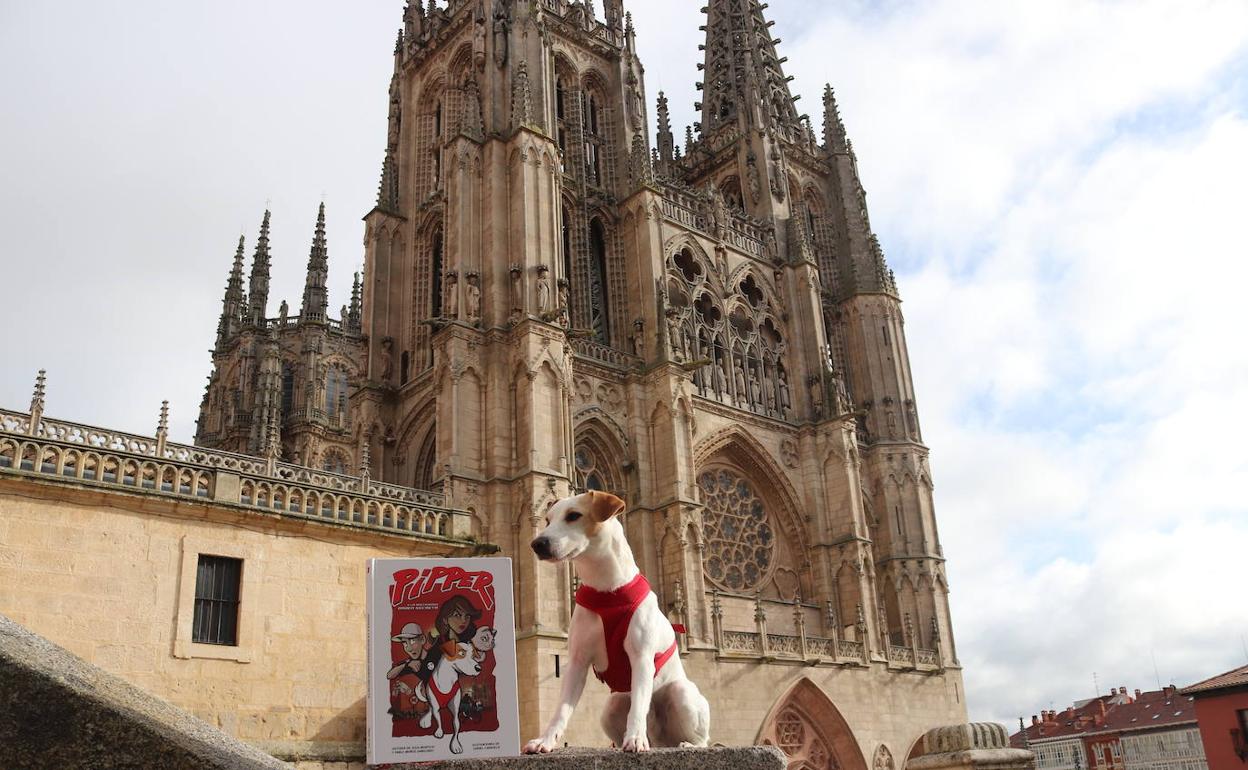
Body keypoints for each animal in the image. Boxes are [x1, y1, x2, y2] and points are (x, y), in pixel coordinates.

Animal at [519, 491, 713, 748]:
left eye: (574, 515)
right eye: (548, 520)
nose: (537, 544)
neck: (606, 591)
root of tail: (659, 738)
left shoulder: (641, 658)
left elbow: (638, 705)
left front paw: (636, 739)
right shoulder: (577, 662)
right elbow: (561, 709)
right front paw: (546, 740)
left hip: (680, 693)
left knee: (701, 738)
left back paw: (682, 743)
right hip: (611, 706)